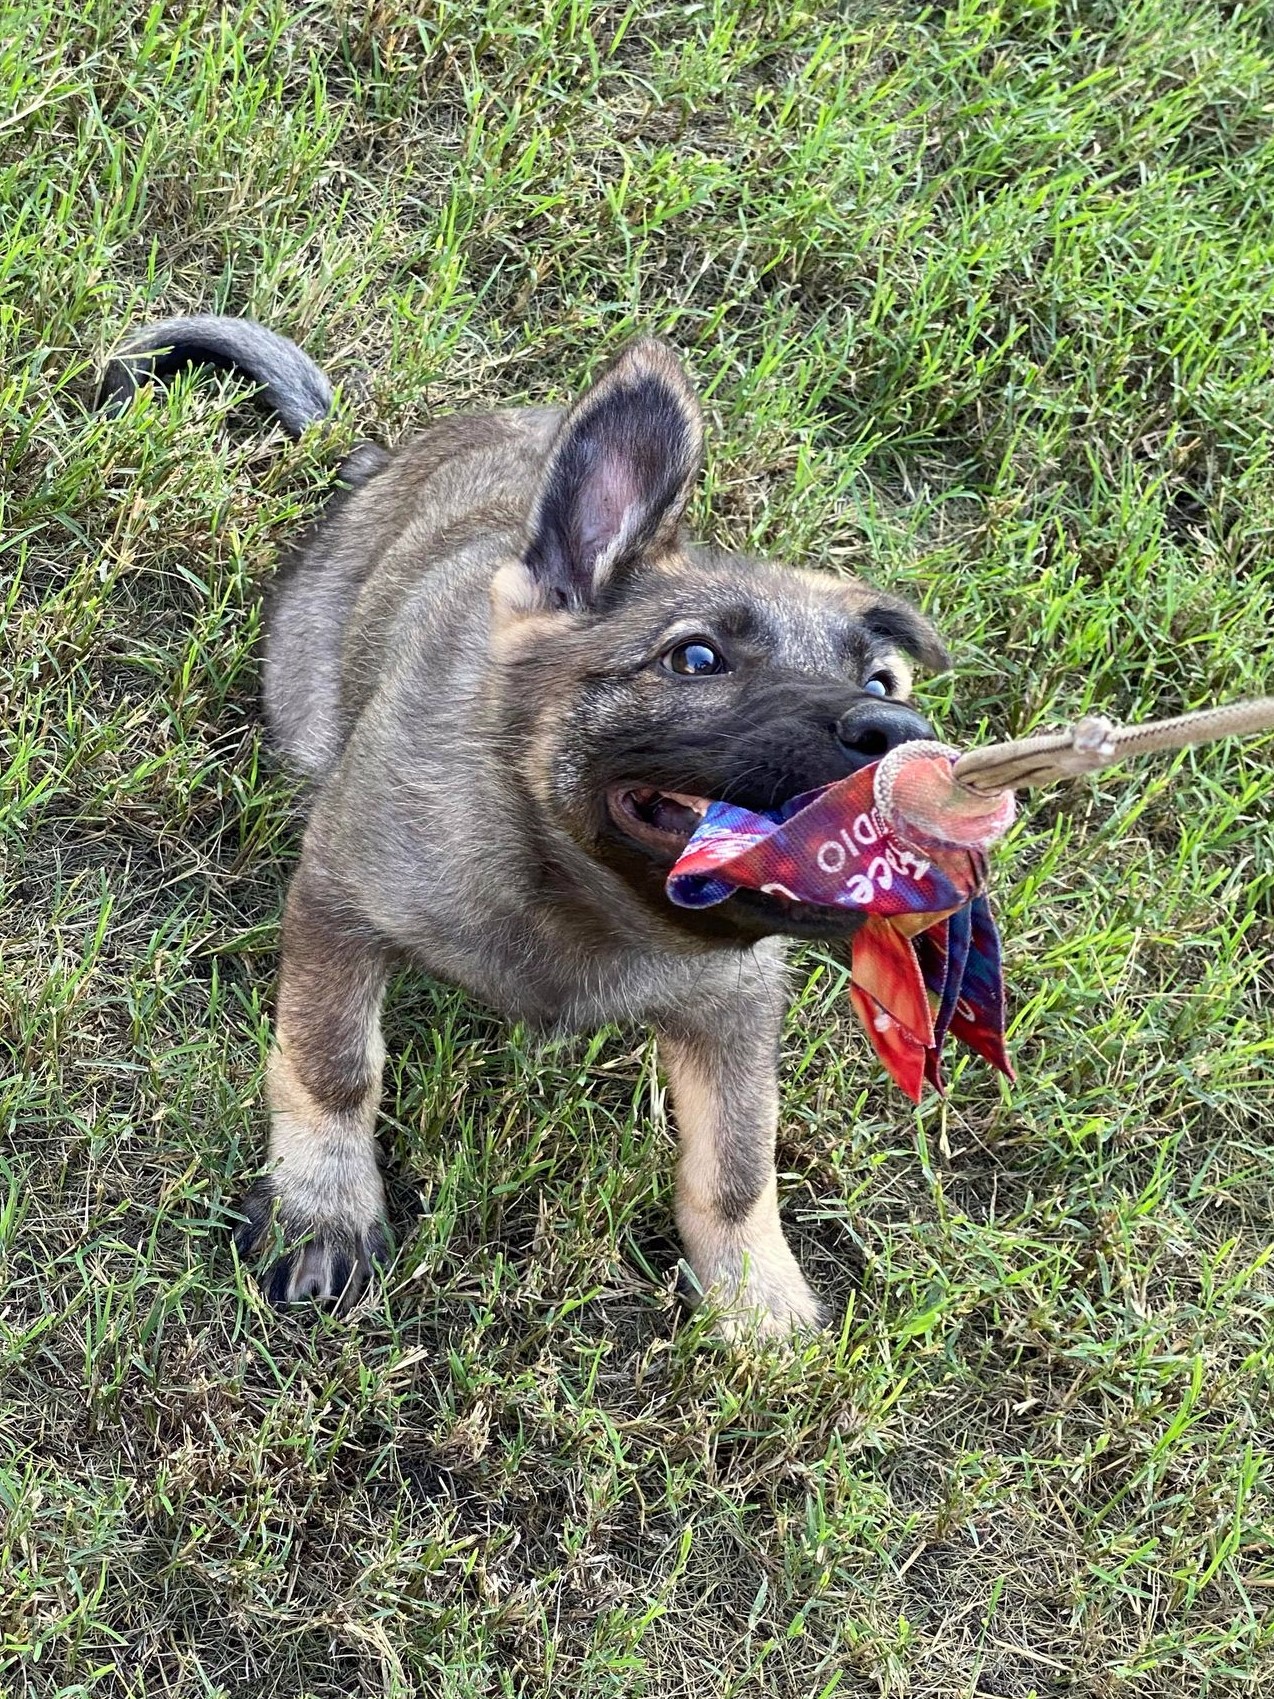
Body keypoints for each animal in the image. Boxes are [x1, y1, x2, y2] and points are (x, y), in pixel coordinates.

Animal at [102, 316, 951, 1325]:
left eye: (882, 682)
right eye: (695, 657)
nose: (903, 736)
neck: (576, 889)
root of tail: (383, 458)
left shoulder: (737, 1005)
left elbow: (737, 1163)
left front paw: (756, 1297)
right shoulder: (341, 898)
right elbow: (333, 1061)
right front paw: (325, 1206)